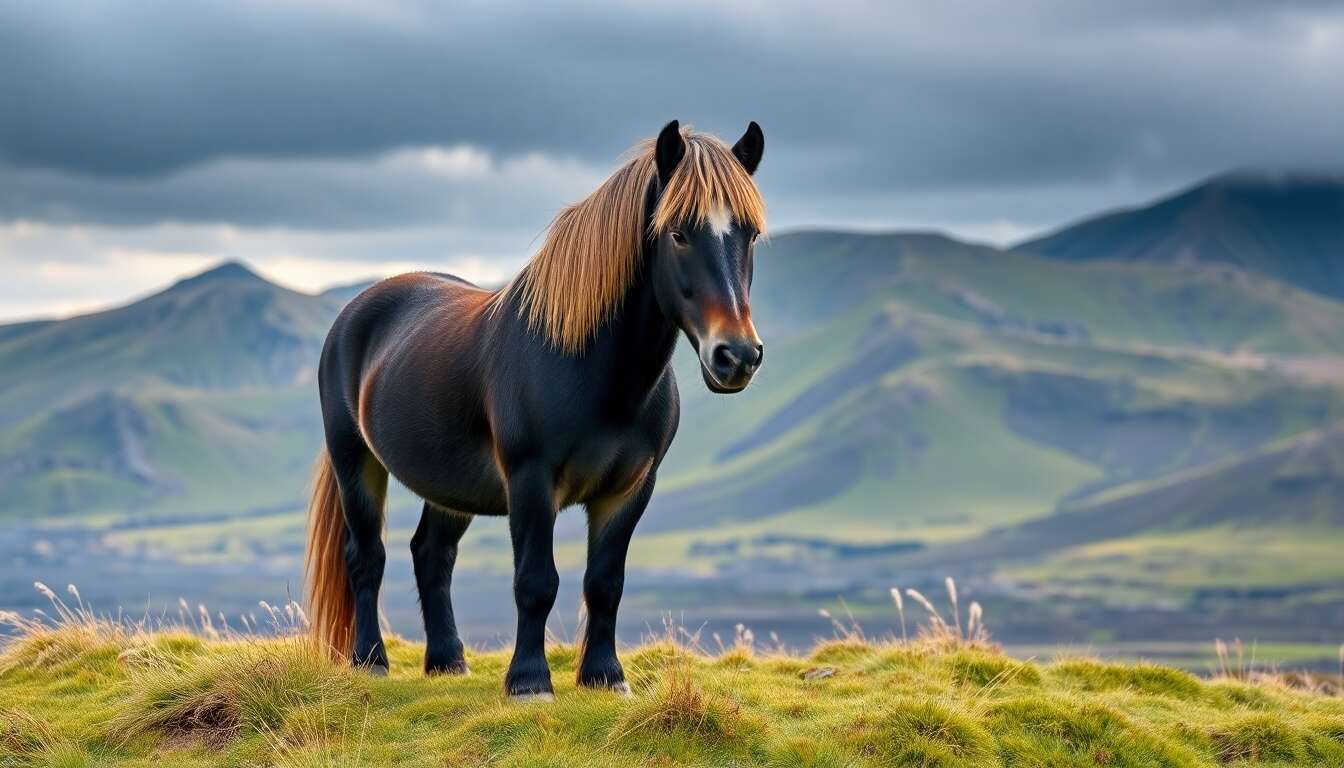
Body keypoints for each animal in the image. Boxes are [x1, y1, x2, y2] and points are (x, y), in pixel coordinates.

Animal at [304, 120, 767, 699]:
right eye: (679, 233)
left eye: (750, 235)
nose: (737, 356)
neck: (594, 372)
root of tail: (356, 311)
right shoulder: (530, 479)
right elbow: (535, 581)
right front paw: (528, 682)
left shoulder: (630, 488)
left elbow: (605, 583)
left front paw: (605, 677)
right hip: (355, 461)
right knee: (366, 557)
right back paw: (370, 661)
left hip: (450, 484)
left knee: (432, 556)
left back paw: (448, 661)